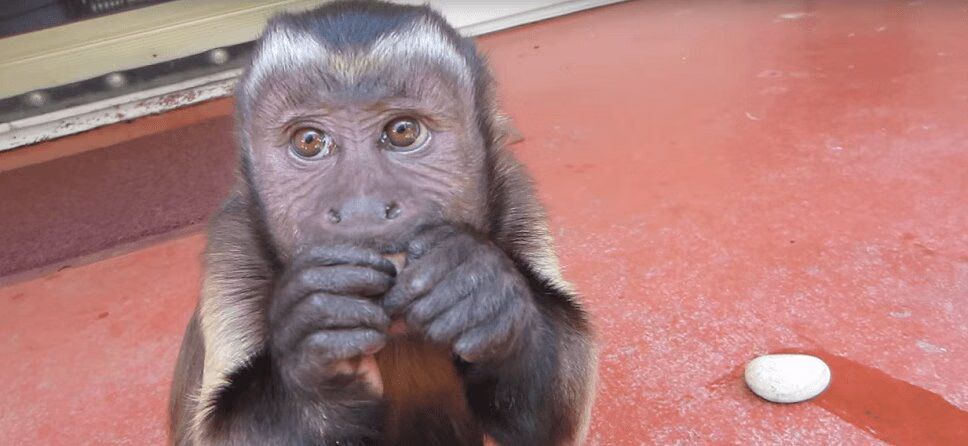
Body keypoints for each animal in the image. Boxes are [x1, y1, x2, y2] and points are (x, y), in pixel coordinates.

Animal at [168, 1, 596, 445]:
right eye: (309, 141)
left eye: (403, 131)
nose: (363, 206)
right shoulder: (232, 251)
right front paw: (312, 364)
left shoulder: (517, 200)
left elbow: (547, 428)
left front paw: (481, 290)